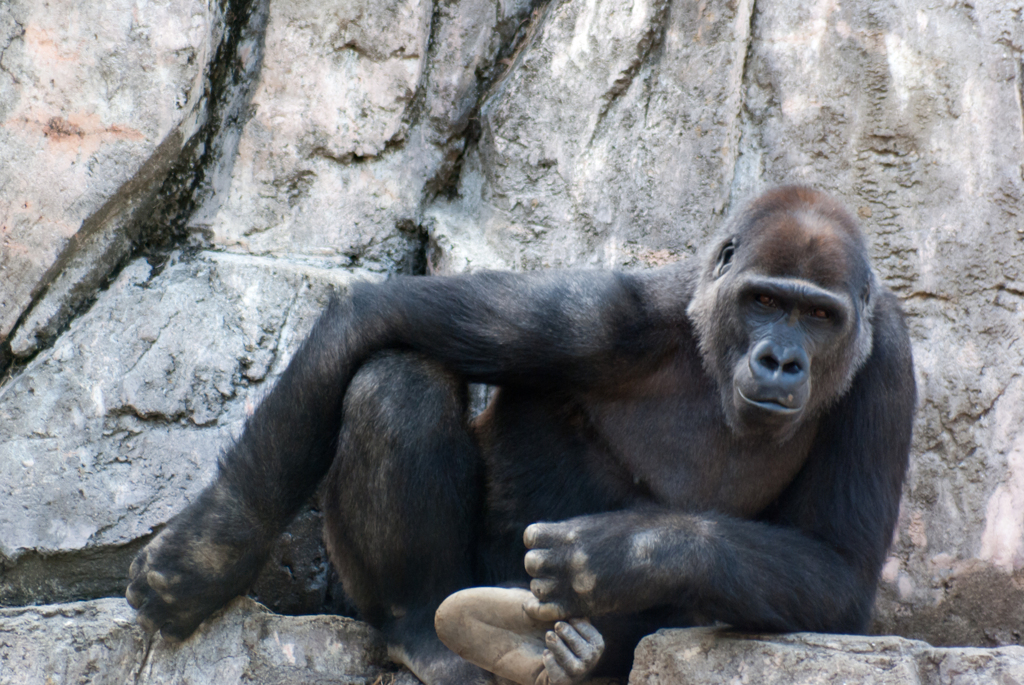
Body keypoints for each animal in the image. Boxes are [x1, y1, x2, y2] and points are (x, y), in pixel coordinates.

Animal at [123, 187, 917, 683]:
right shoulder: (612, 319)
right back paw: (425, 630)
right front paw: (211, 549)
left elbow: (842, 571)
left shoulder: (887, 362)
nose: (781, 359)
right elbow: (377, 316)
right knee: (395, 377)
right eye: (765, 301)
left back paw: (560, 653)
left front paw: (626, 554)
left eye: (818, 316)